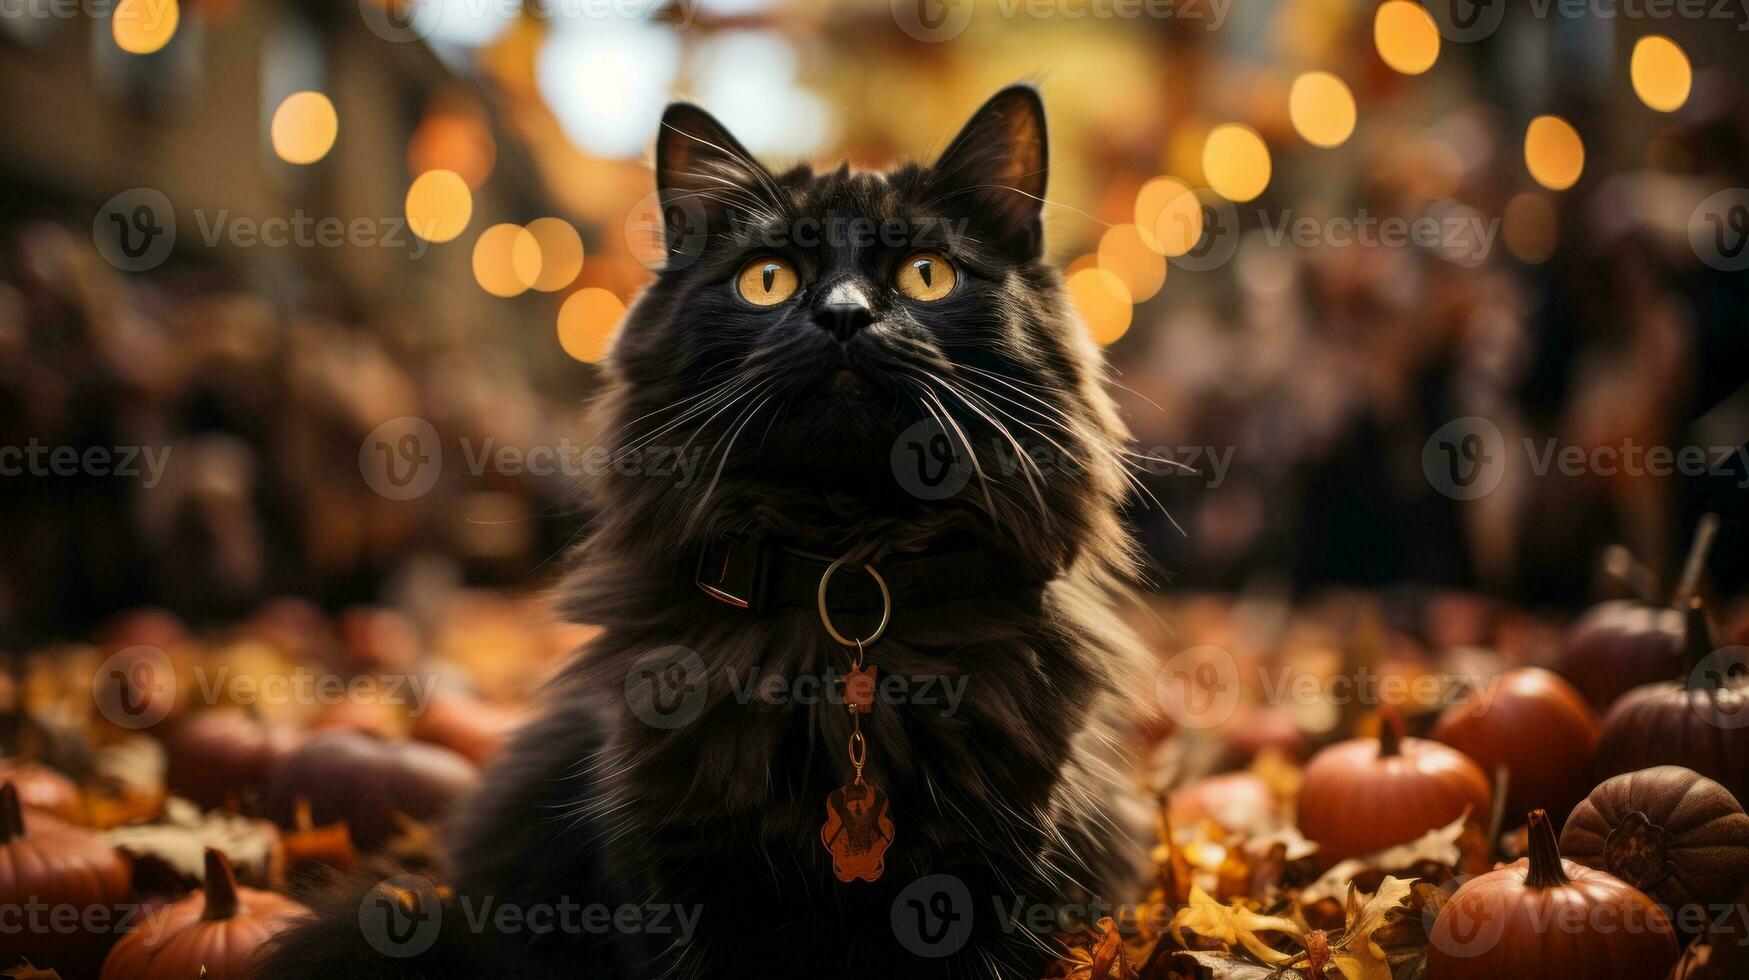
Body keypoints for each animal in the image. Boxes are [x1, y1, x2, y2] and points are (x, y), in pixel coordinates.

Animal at [258, 84, 1154, 980]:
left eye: (926, 273)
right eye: (767, 279)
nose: (843, 315)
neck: (845, 582)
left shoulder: (992, 865)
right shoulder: (676, 866)